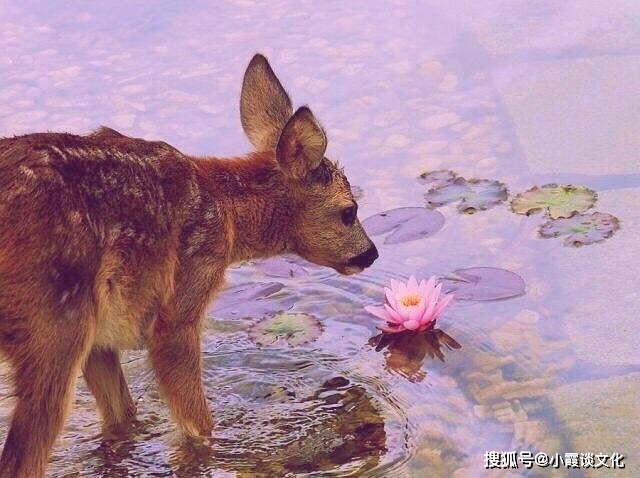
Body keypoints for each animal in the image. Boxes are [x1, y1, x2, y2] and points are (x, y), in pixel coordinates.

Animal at [0, 54, 378, 476]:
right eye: (349, 211)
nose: (370, 254)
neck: (228, 213)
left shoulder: (101, 338)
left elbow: (123, 416)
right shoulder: (182, 299)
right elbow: (198, 423)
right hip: (54, 327)